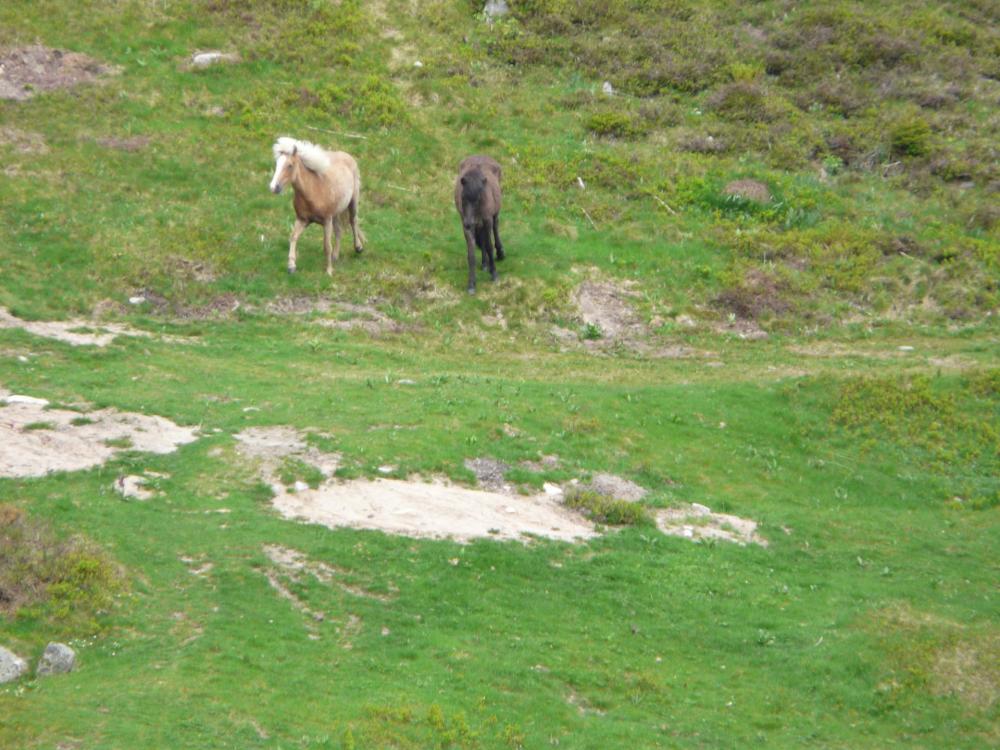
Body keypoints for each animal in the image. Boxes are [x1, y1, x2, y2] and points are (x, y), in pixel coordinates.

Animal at [270, 137, 368, 274]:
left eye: (290, 165)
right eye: (277, 164)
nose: (274, 187)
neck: (313, 190)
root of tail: (348, 156)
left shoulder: (326, 221)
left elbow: (327, 246)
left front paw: (329, 271)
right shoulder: (302, 220)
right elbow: (293, 237)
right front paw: (291, 266)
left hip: (352, 203)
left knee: (353, 221)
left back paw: (358, 247)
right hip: (336, 214)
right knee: (339, 230)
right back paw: (335, 256)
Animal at [454, 156, 504, 294]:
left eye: (477, 200)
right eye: (463, 198)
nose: (468, 223)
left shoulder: (487, 221)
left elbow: (489, 247)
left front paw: (494, 274)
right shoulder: (467, 225)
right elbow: (471, 254)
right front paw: (471, 284)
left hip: (494, 215)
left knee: (496, 227)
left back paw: (500, 253)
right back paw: (484, 264)